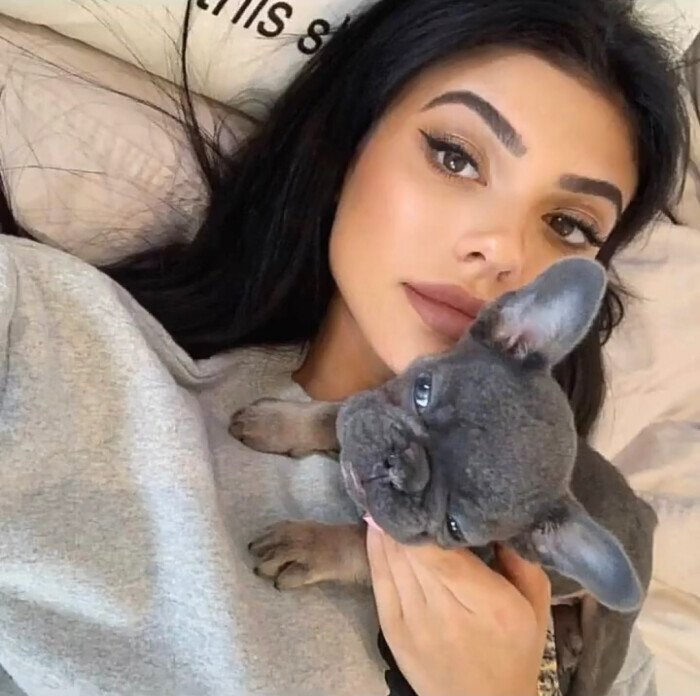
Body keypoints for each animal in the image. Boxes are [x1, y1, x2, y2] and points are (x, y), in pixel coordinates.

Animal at [229, 257, 657, 696]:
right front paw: (277, 422)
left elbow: (360, 541)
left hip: (609, 635)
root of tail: (645, 512)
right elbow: (332, 414)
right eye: (423, 389)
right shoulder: (370, 401)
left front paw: (309, 543)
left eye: (454, 526)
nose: (398, 465)